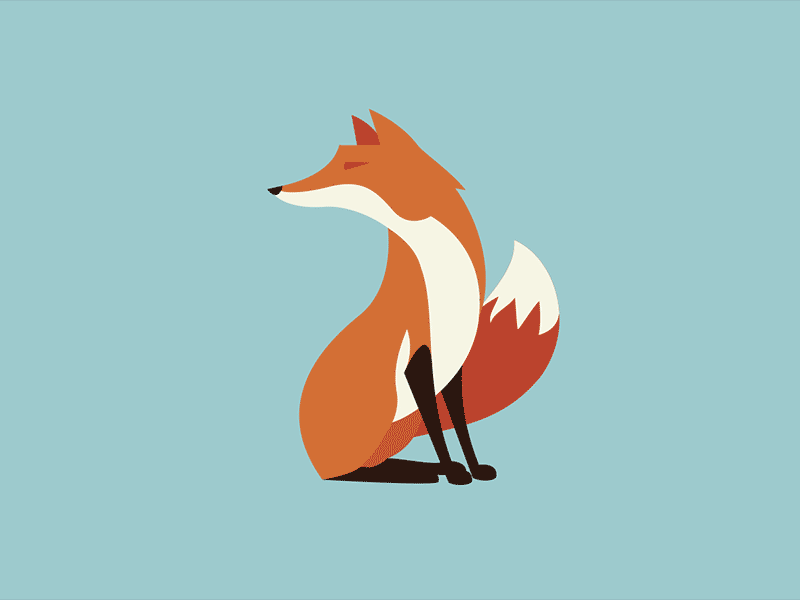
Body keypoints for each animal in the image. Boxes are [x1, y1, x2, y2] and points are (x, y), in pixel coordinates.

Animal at [269, 110, 559, 485]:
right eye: (332, 161)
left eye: (351, 164)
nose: (275, 188)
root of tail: (315, 461)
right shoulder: (418, 355)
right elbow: (438, 429)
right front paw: (454, 471)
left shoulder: (454, 359)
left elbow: (458, 424)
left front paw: (474, 467)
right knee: (354, 472)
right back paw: (421, 472)